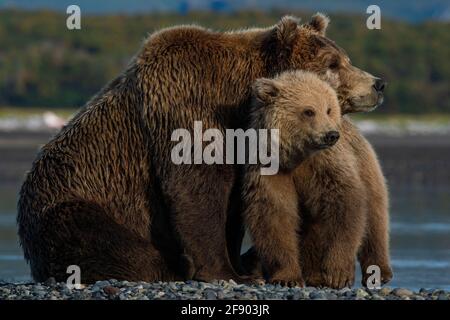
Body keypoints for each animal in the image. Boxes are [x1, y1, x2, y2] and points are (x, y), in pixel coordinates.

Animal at [243, 71, 342, 286]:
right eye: (309, 111)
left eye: (329, 109)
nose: (331, 135)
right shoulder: (269, 171)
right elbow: (274, 217)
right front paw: (288, 277)